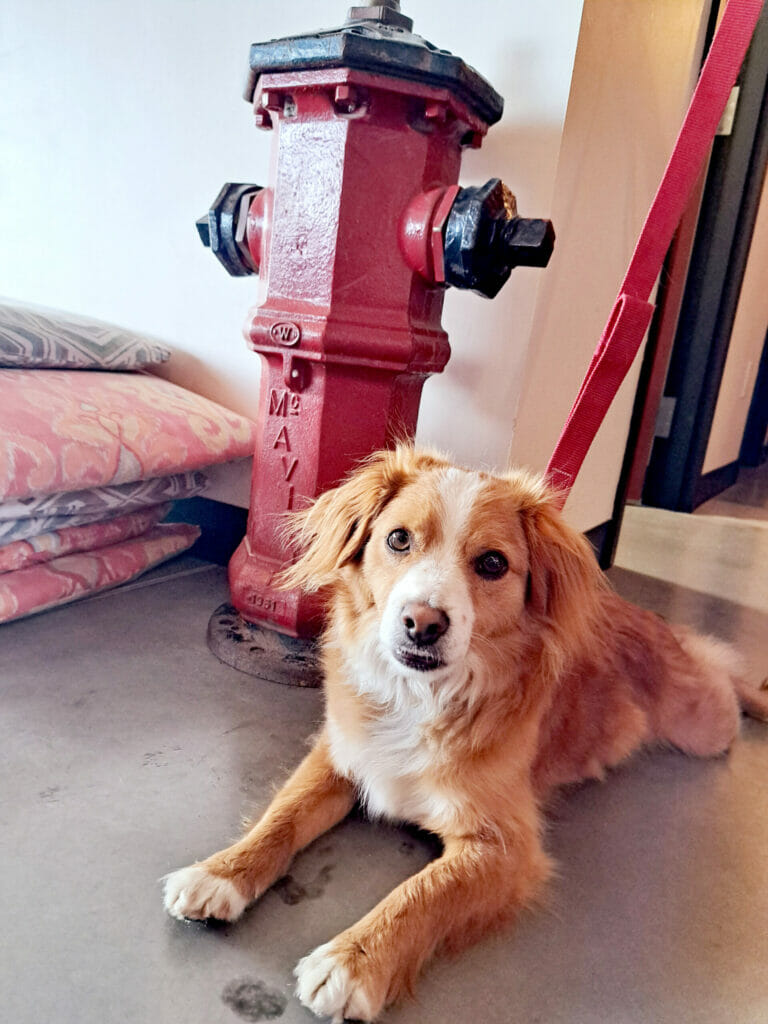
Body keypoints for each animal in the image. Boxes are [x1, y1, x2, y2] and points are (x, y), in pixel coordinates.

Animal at [163, 444, 768, 1019]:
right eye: (399, 539)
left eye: (493, 563)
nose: (422, 623)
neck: (419, 697)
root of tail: (647, 618)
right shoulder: (340, 756)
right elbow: (281, 817)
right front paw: (222, 871)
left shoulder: (504, 846)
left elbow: (423, 892)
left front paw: (354, 961)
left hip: (702, 722)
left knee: (720, 669)